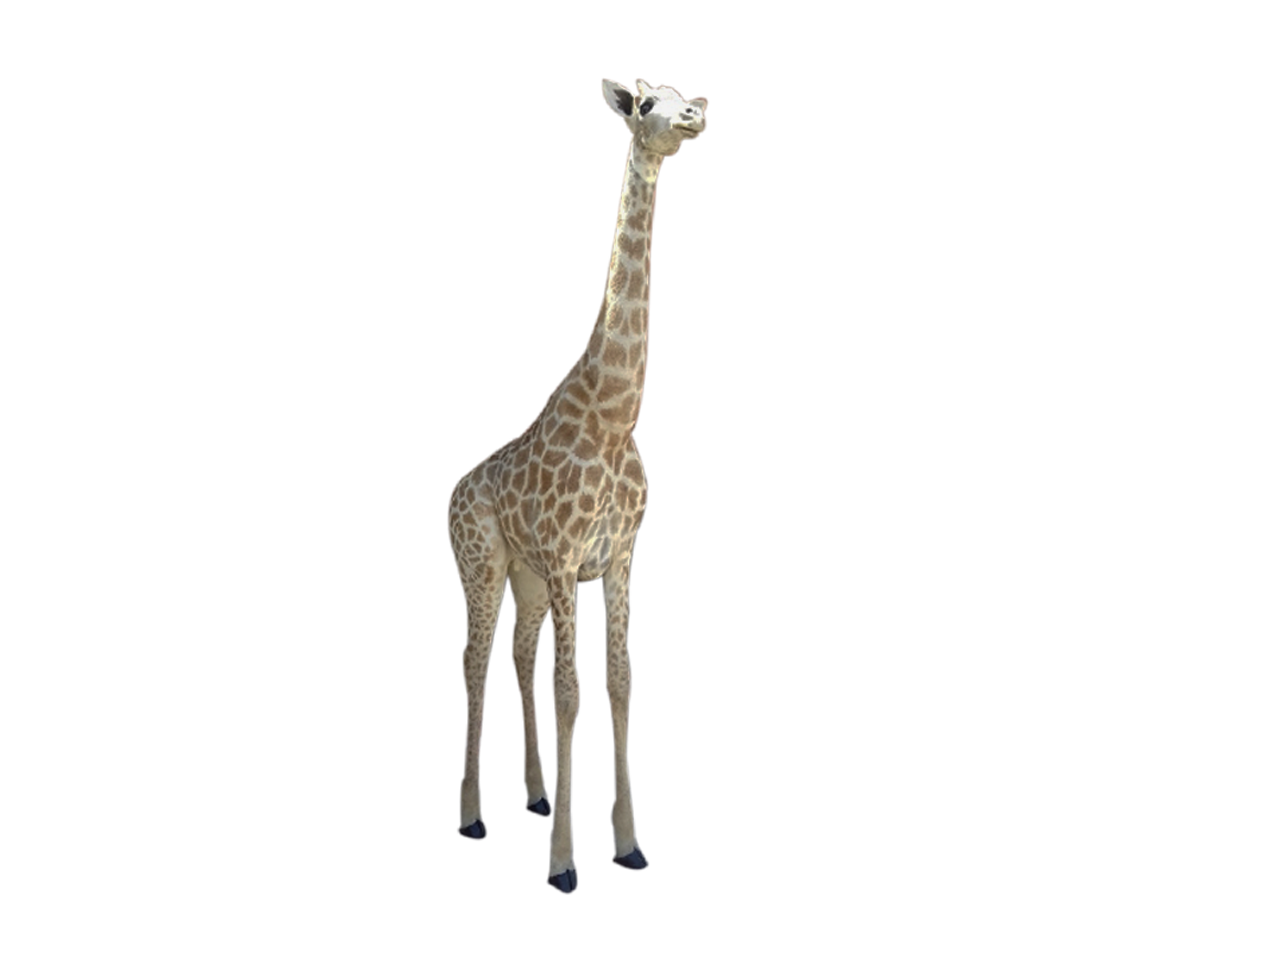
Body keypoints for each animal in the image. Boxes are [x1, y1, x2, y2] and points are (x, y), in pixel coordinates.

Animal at [446, 78, 708, 895]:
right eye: (649, 103)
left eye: (682, 96)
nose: (696, 115)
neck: (614, 412)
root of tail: (455, 489)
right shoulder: (567, 562)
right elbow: (573, 694)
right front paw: (564, 863)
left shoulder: (617, 560)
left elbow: (618, 683)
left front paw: (627, 843)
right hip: (483, 566)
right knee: (474, 666)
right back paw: (473, 817)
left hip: (526, 579)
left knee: (516, 658)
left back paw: (533, 796)